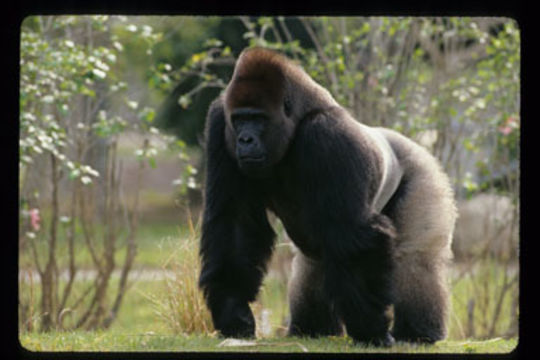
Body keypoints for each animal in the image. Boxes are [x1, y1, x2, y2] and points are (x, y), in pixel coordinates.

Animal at [198, 47, 456, 346]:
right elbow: (235, 222)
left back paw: (418, 331)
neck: (297, 119)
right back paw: (312, 328)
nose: (245, 140)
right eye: (239, 120)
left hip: (425, 171)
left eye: (258, 119)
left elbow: (354, 234)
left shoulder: (329, 136)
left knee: (415, 257)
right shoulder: (220, 121)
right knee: (313, 262)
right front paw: (233, 309)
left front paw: (370, 329)